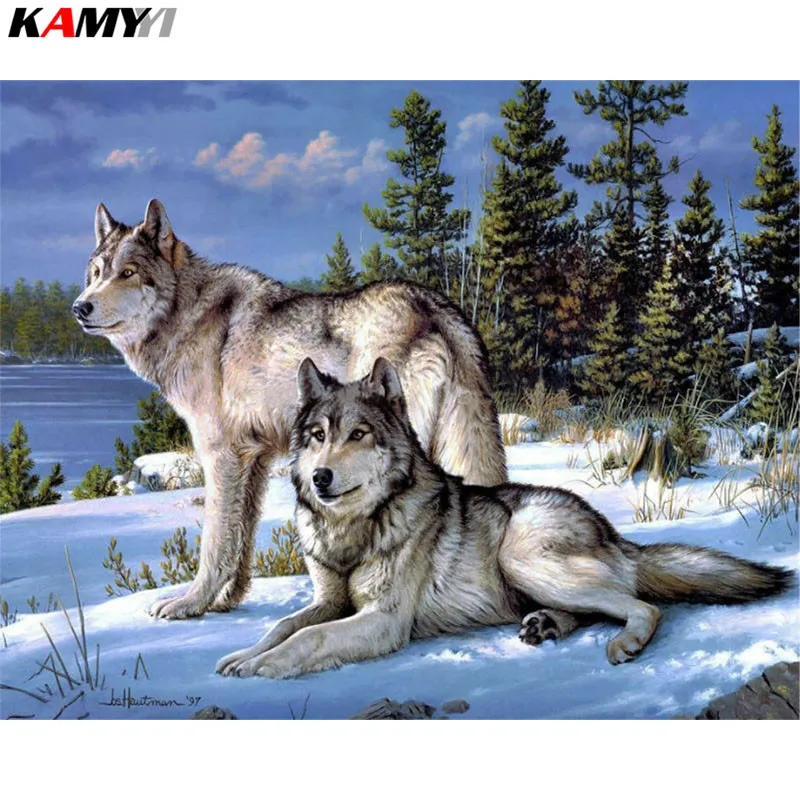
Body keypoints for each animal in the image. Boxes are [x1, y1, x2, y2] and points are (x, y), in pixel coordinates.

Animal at [72, 199, 507, 620]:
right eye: (95, 273)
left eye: (128, 272)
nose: (80, 307)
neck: (187, 314)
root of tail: (436, 307)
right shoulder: (253, 460)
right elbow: (240, 541)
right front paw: (226, 601)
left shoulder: (220, 457)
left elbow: (214, 543)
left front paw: (190, 604)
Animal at [215, 357, 793, 678]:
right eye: (318, 436)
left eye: (358, 435)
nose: (321, 478)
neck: (354, 531)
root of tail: (612, 532)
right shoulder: (329, 601)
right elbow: (284, 626)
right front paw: (242, 655)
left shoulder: (384, 620)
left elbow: (307, 639)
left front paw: (261, 667)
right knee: (600, 607)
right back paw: (546, 625)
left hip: (522, 557)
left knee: (644, 607)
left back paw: (622, 642)